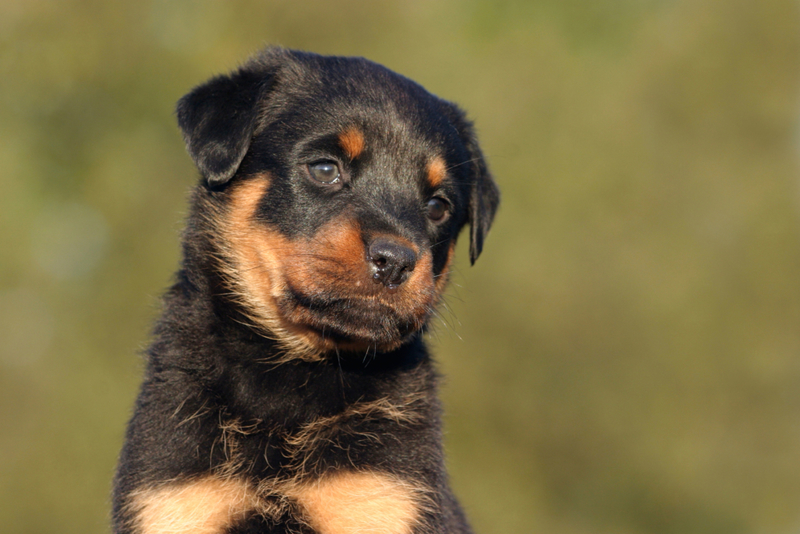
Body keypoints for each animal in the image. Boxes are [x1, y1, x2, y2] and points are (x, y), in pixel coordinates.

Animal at [112, 47, 500, 534]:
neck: (288, 381)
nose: (395, 260)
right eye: (324, 169)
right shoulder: (175, 500)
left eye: (437, 206)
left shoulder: (381, 498)